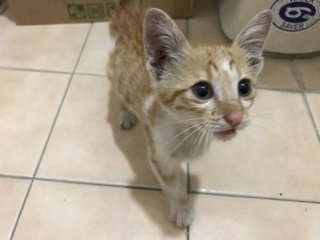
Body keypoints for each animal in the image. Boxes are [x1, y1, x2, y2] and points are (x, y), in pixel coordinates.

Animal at [107, 0, 270, 228]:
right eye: (202, 91)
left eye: (244, 87)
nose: (236, 118)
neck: (187, 129)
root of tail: (131, 7)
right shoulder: (159, 153)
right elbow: (172, 185)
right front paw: (183, 208)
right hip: (116, 70)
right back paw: (126, 112)